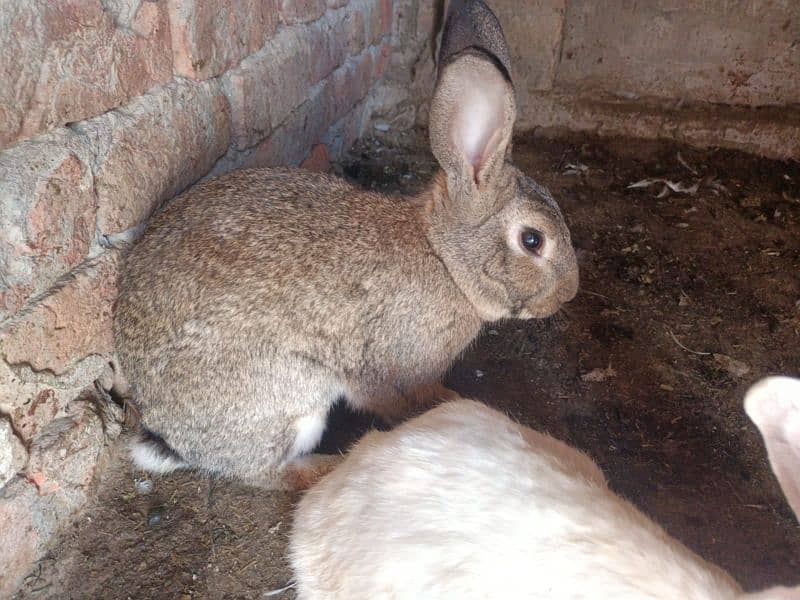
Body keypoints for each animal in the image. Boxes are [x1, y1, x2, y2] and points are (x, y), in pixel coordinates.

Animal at [112, 0, 580, 490]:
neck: (444, 259)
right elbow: (389, 399)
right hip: (295, 393)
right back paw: (329, 465)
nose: (568, 293)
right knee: (268, 473)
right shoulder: (386, 367)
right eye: (532, 240)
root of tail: (172, 436)